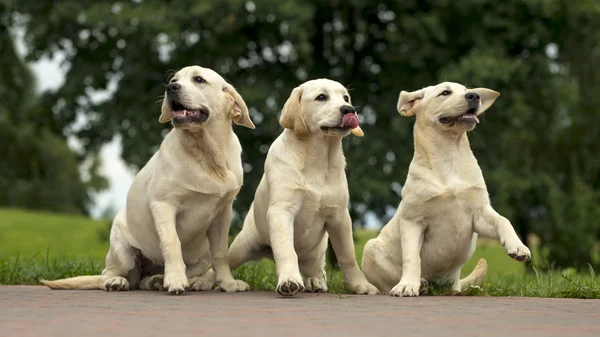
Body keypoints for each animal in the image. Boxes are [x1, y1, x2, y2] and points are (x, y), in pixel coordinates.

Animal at [227, 79, 378, 296]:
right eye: (321, 97)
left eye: (346, 98)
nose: (349, 110)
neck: (319, 157)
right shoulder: (281, 211)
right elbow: (286, 250)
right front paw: (289, 280)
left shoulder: (339, 217)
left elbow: (347, 256)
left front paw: (361, 285)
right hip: (243, 244)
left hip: (318, 250)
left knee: (314, 267)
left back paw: (315, 281)